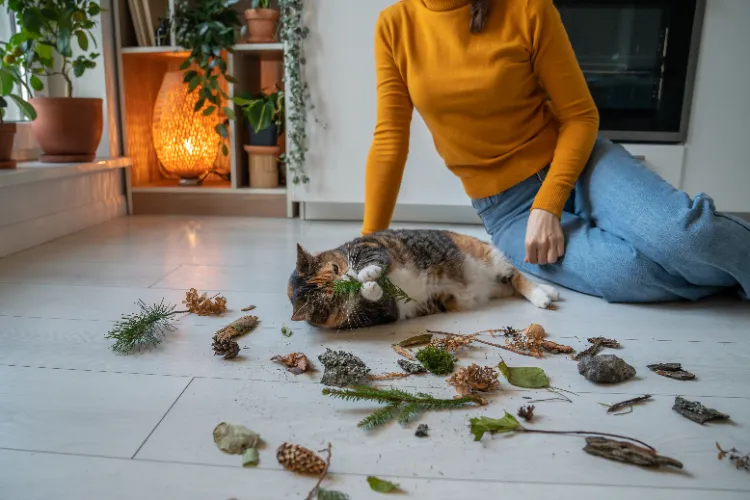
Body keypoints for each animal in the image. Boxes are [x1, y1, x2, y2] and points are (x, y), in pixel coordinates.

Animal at [288, 229, 560, 330]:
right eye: (333, 296)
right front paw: (369, 285)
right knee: (512, 286)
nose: (347, 278)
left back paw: (544, 294)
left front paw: (364, 275)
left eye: (335, 268)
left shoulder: (369, 245)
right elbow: (377, 297)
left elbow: (371, 260)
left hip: (491, 258)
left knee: (518, 277)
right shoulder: (382, 313)